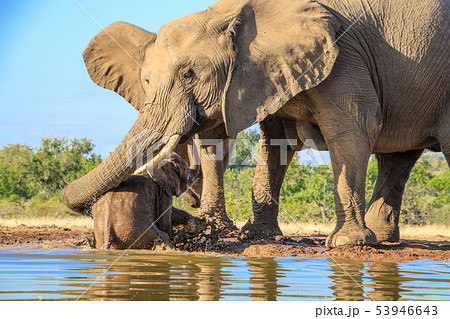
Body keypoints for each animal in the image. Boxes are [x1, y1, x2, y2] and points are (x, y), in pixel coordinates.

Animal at [61, 0, 448, 248]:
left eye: (189, 74)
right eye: (143, 81)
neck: (234, 13)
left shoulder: (344, 57)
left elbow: (352, 131)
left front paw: (346, 245)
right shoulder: (270, 73)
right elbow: (274, 142)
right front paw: (251, 236)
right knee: (397, 159)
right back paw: (384, 239)